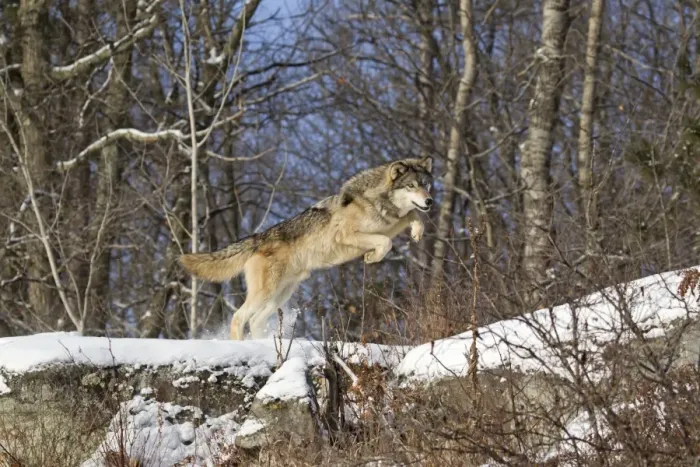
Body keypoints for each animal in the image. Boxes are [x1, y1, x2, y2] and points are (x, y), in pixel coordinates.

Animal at [180, 156, 434, 340]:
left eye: (426, 185)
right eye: (411, 186)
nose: (430, 201)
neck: (376, 200)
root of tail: (257, 238)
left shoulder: (391, 224)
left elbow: (413, 216)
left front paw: (417, 232)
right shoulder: (348, 235)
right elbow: (386, 242)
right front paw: (372, 258)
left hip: (281, 295)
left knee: (255, 321)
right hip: (266, 293)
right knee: (239, 318)